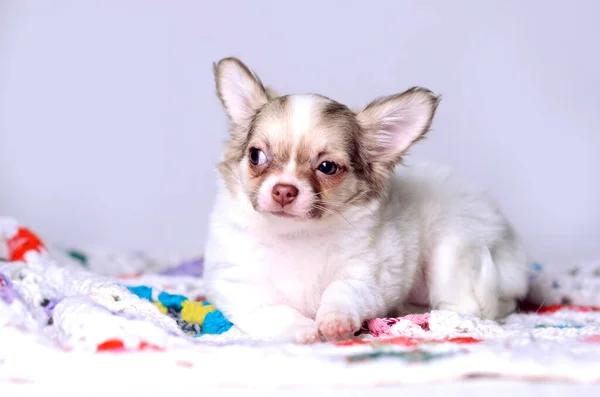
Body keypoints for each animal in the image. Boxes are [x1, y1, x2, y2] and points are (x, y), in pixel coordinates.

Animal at [204, 57, 528, 342]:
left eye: (327, 167)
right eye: (256, 156)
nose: (284, 189)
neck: (297, 236)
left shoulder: (367, 280)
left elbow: (341, 291)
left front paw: (335, 319)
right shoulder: (237, 288)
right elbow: (274, 311)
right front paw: (301, 329)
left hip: (454, 251)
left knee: (477, 305)